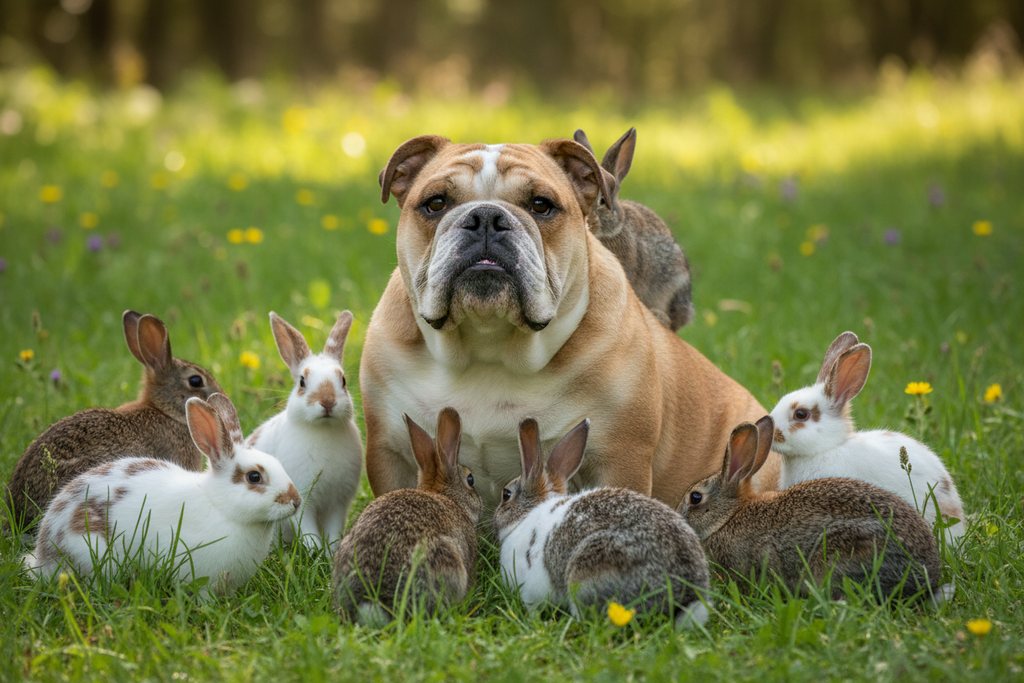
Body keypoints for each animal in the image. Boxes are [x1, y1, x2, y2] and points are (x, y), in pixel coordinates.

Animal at [247, 310, 363, 552]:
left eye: (343, 380)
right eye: (302, 381)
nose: (327, 402)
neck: (323, 430)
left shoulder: (338, 502)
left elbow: (333, 529)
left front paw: (331, 551)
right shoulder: (300, 497)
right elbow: (307, 529)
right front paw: (315, 550)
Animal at [492, 417, 712, 629]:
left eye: (506, 495)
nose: (494, 519)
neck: (526, 516)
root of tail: (686, 596)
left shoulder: (529, 590)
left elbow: (532, 607)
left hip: (588, 573)